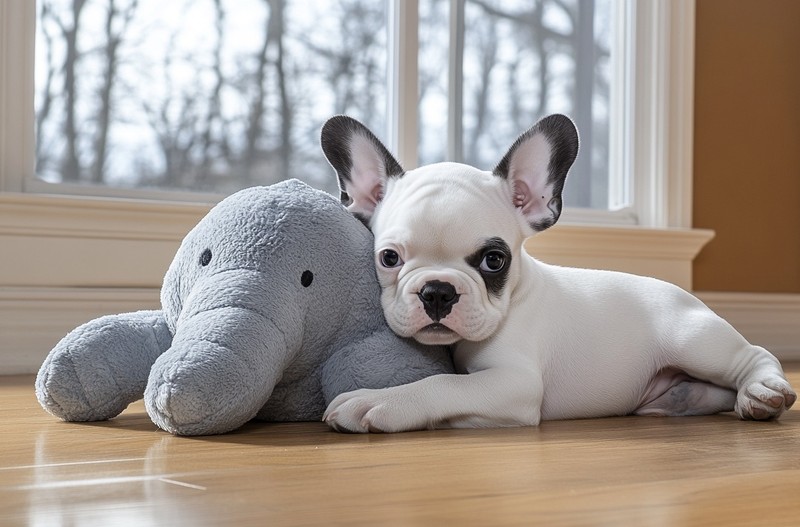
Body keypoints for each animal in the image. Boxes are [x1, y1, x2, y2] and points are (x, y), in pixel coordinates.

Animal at [318, 115, 792, 434]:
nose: (437, 291)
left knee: (753, 356)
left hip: (694, 340)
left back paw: (762, 392)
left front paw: (378, 402)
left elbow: (444, 384)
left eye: (494, 261)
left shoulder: (515, 383)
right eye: (389, 258)